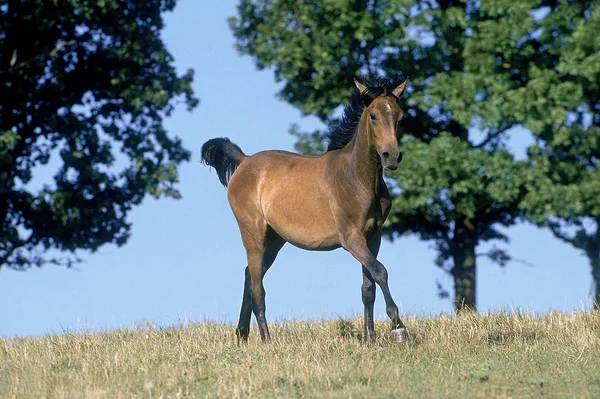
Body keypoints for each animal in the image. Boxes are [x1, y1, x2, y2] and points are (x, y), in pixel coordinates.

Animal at [200, 77, 408, 344]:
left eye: (400, 116)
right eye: (373, 115)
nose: (391, 156)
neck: (356, 179)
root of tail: (244, 161)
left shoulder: (373, 237)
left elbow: (368, 287)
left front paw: (370, 337)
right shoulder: (352, 238)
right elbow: (381, 271)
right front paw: (398, 327)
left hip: (274, 240)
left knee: (250, 276)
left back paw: (242, 334)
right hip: (253, 234)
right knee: (257, 288)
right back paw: (266, 340)